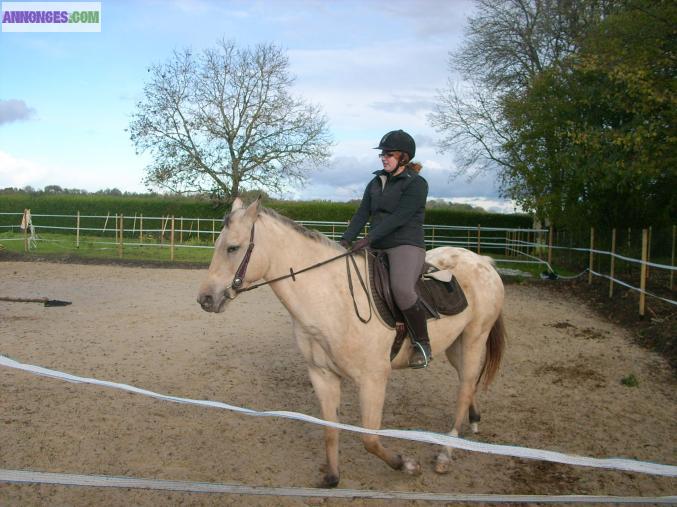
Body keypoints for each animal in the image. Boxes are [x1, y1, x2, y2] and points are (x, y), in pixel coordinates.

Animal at [195, 198, 502, 488]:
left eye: (233, 248)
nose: (205, 299)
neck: (333, 298)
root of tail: (482, 261)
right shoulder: (322, 375)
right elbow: (330, 430)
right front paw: (332, 477)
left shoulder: (373, 380)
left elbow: (370, 438)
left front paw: (407, 465)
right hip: (455, 346)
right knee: (467, 382)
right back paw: (473, 421)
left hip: (474, 339)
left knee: (464, 388)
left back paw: (446, 453)